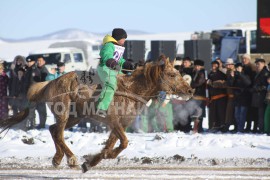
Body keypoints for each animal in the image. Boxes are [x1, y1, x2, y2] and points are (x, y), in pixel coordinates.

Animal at [0, 58, 194, 172]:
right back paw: (71, 158)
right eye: (172, 74)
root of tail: (50, 82)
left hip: (76, 116)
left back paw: (58, 158)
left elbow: (113, 145)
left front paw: (92, 161)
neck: (130, 90)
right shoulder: (113, 121)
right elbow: (123, 143)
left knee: (53, 129)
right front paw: (93, 159)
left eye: (178, 72)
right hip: (64, 113)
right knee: (59, 133)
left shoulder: (121, 124)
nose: (190, 90)